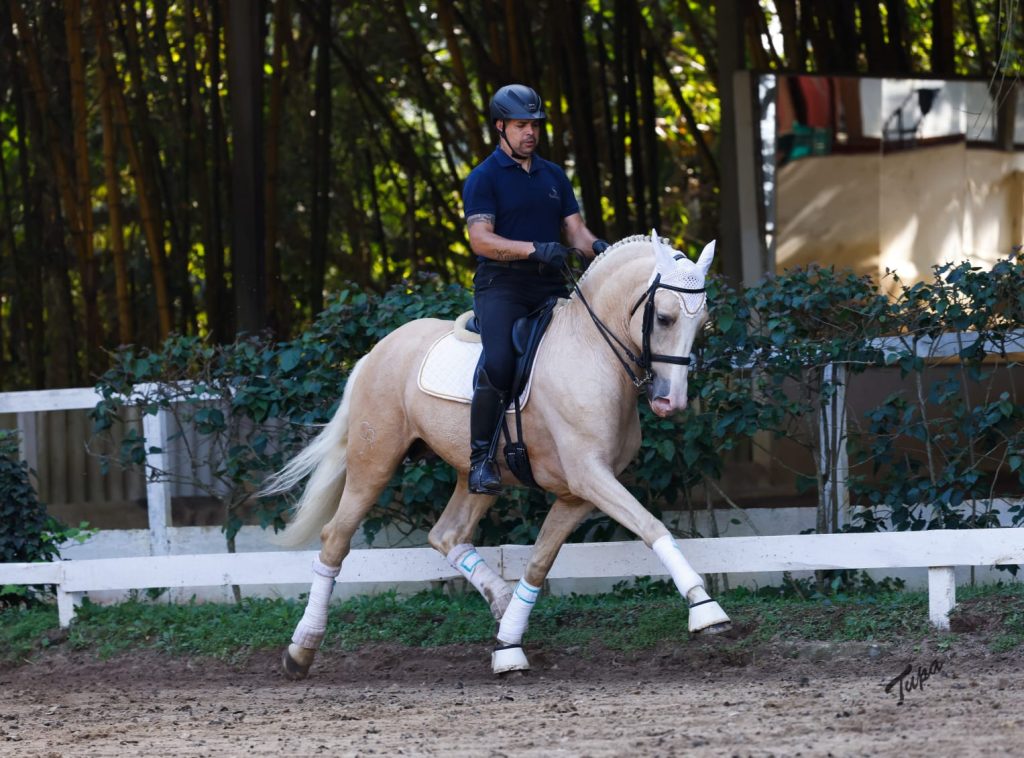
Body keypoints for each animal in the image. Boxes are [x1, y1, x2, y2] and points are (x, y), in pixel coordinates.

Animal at [264, 232, 729, 680]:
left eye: (702, 324)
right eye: (664, 318)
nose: (670, 402)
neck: (592, 352)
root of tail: (375, 353)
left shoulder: (578, 493)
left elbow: (540, 562)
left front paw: (508, 648)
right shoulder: (590, 476)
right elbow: (651, 526)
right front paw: (705, 608)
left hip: (477, 474)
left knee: (447, 534)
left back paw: (502, 604)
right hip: (373, 461)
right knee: (335, 539)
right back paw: (300, 650)